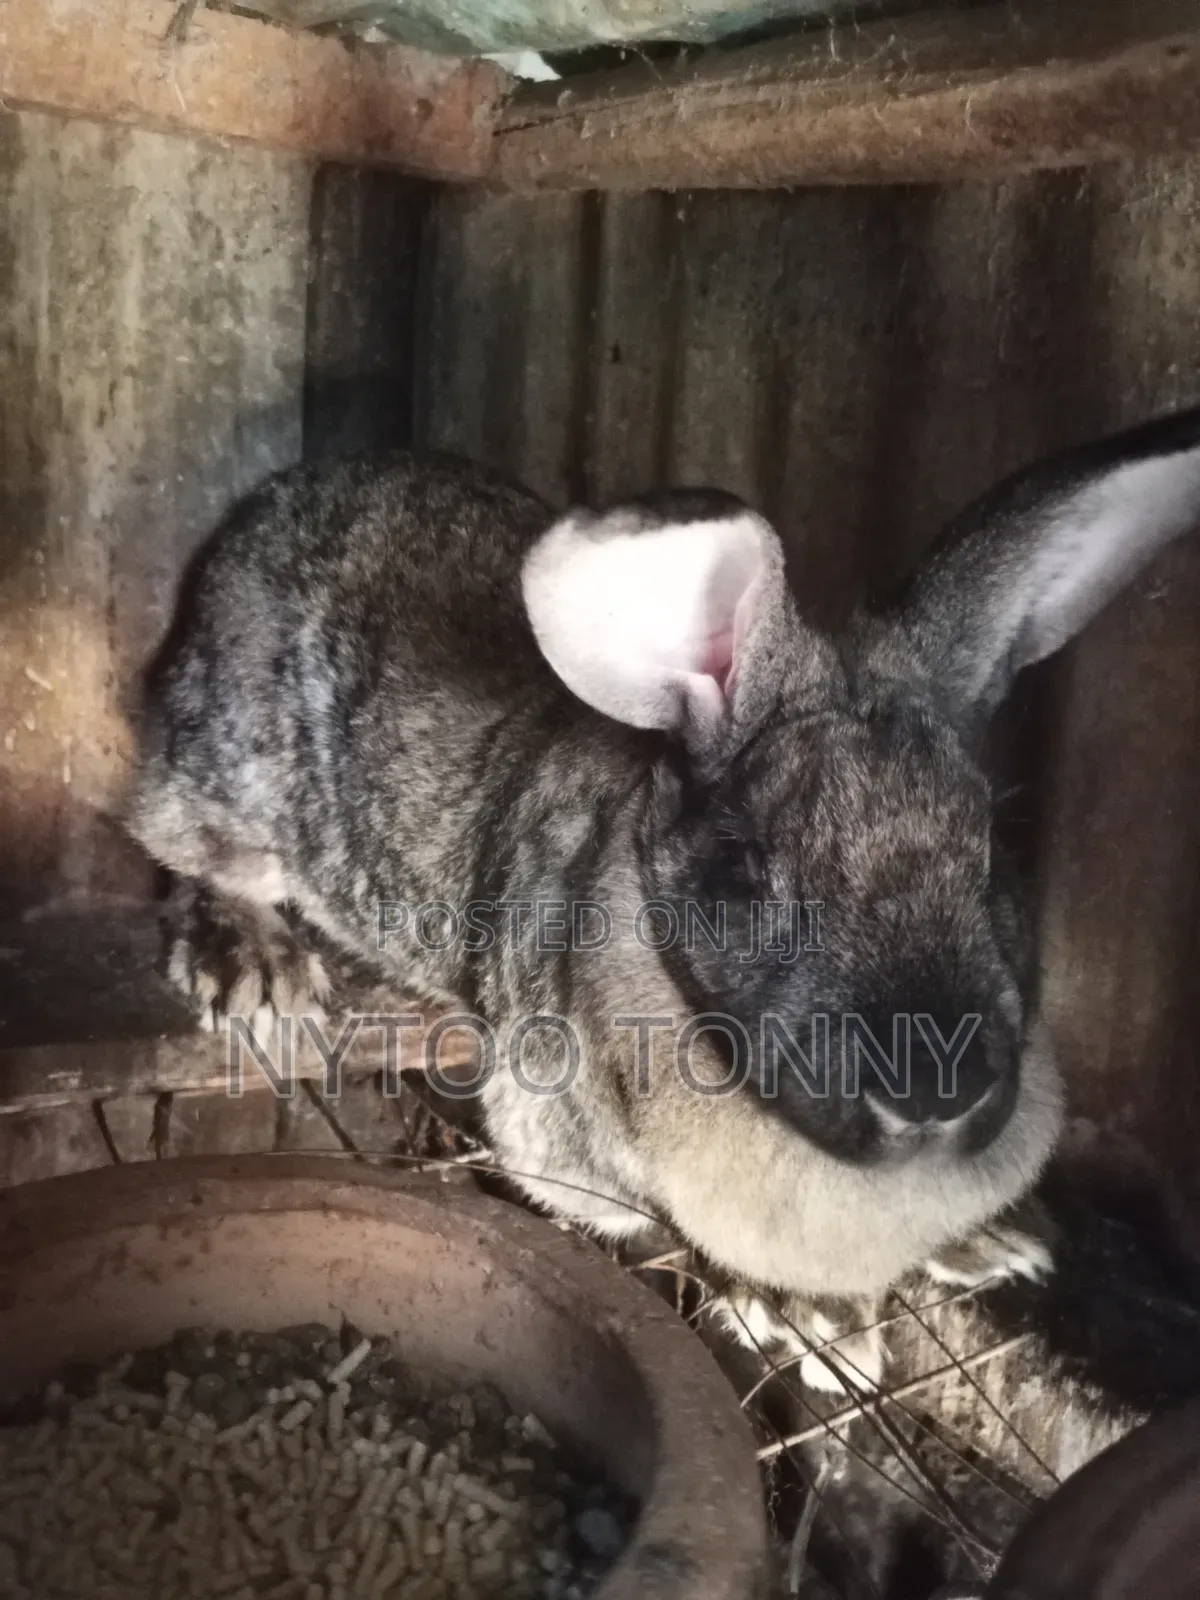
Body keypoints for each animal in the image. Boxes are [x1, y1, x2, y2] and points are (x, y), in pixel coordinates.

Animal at [126, 403, 1200, 1394]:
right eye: (747, 868)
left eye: (991, 857)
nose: (934, 1095)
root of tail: (260, 516)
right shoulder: (565, 1143)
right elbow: (671, 1230)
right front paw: (821, 1326)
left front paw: (997, 1245)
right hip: (230, 788)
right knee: (173, 839)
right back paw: (253, 969)